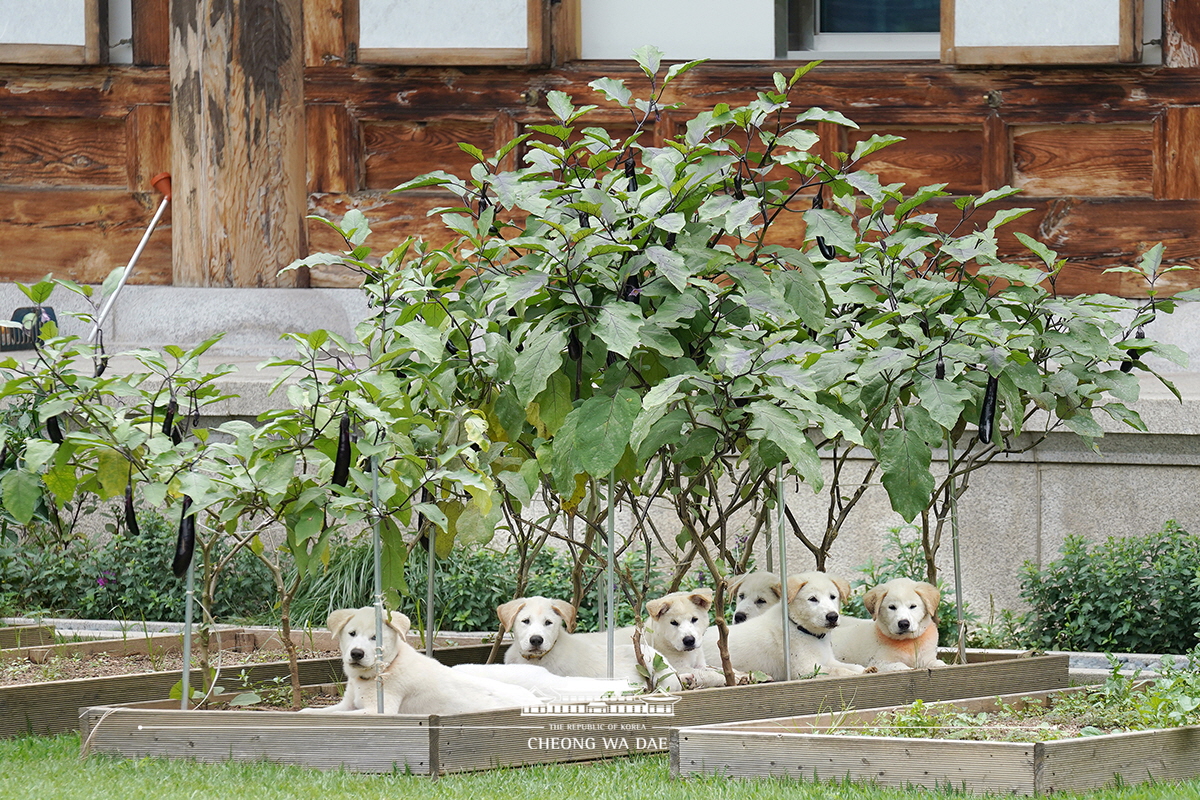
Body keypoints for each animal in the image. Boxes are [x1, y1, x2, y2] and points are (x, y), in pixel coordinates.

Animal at [304, 606, 540, 714]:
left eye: (375, 638)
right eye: (352, 633)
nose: (356, 654)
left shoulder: (380, 709)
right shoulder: (346, 704)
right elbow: (316, 712)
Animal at [700, 568, 864, 681]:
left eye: (833, 597)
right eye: (812, 599)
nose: (832, 616)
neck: (800, 628)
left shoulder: (828, 660)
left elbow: (851, 666)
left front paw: (864, 669)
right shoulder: (805, 670)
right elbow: (838, 671)